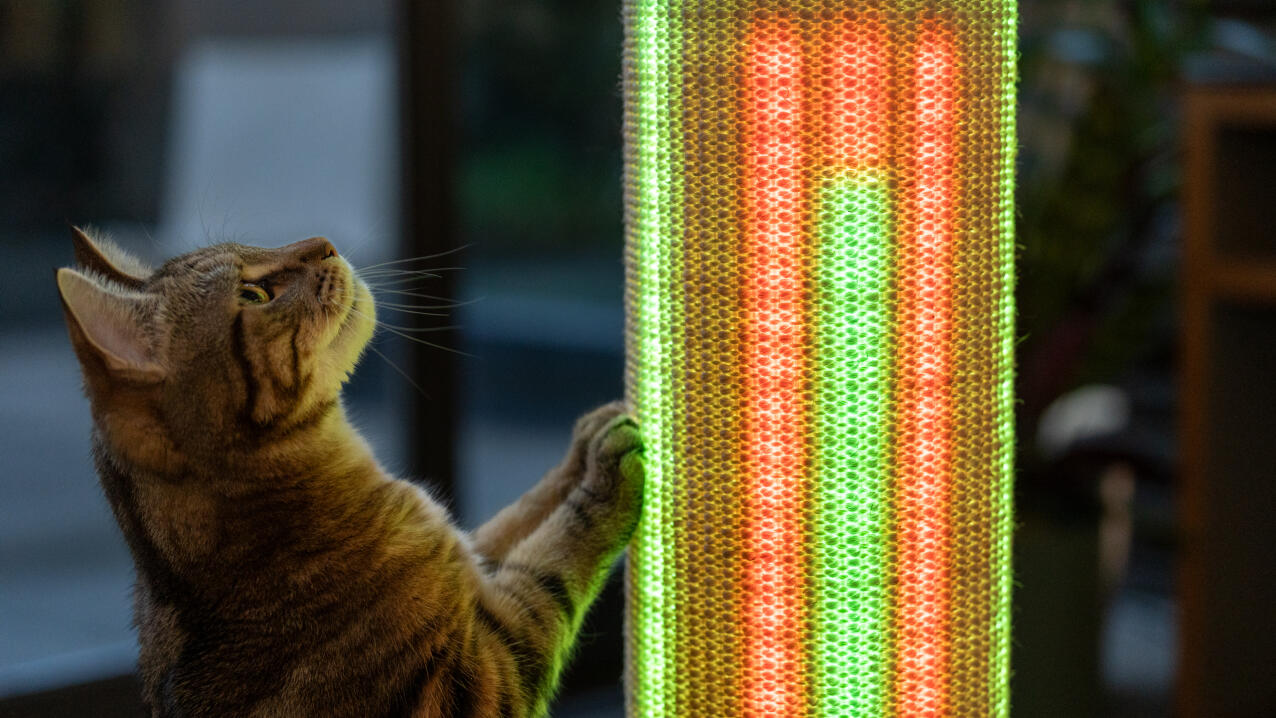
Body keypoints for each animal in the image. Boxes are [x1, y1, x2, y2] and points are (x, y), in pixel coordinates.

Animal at [54, 229, 643, 718]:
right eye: (254, 295)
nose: (324, 242)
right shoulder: (484, 674)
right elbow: (553, 561)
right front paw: (606, 476)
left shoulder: (472, 564)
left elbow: (520, 520)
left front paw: (589, 439)